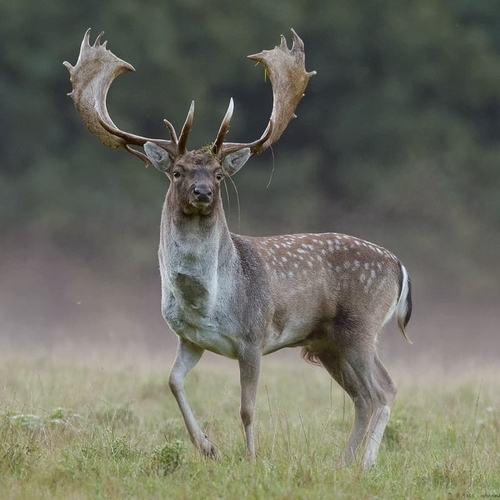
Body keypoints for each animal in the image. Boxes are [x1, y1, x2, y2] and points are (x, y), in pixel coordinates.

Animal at [64, 28, 412, 468]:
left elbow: (247, 408)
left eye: (217, 173)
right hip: (327, 343)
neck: (206, 300)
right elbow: (173, 382)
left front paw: (251, 458)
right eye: (177, 172)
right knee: (363, 397)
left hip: (360, 327)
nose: (202, 192)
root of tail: (399, 265)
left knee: (384, 388)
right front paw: (207, 447)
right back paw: (342, 463)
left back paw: (365, 464)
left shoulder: (253, 335)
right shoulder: (190, 338)